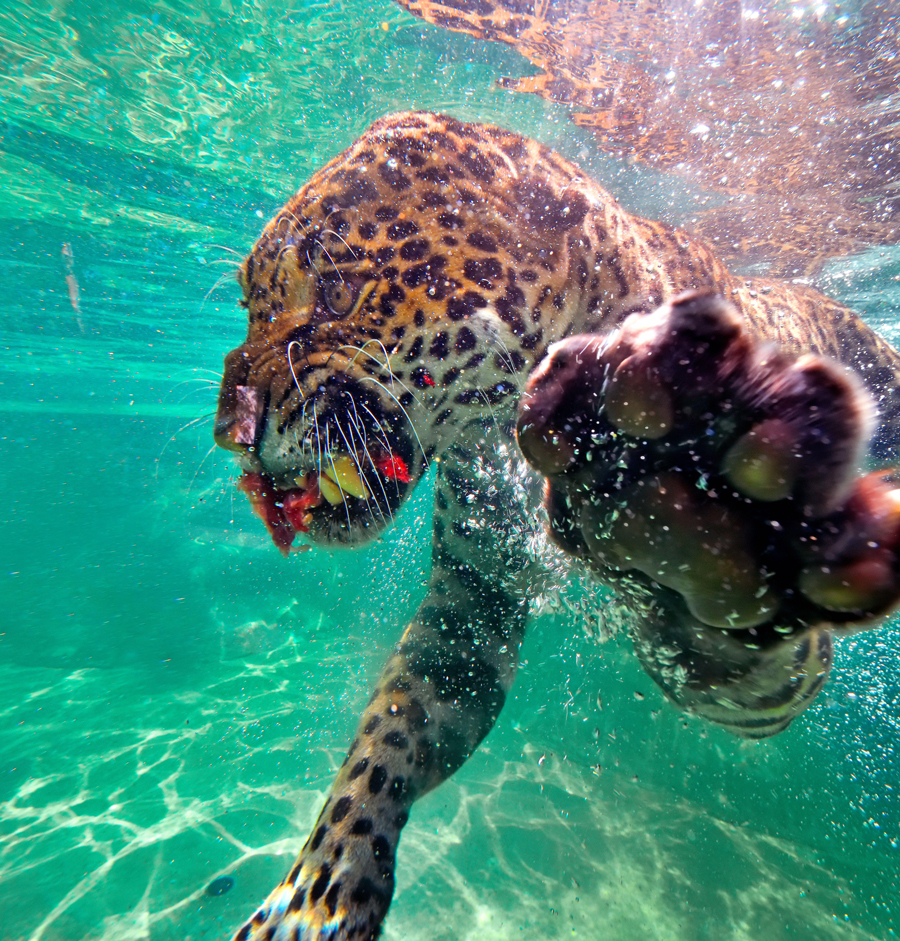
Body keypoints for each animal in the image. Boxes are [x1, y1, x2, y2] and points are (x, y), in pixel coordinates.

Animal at [212, 110, 900, 941]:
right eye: (250, 303)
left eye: (341, 292)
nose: (230, 430)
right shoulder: (474, 597)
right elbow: (389, 734)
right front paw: (316, 893)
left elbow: (740, 653)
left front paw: (698, 539)